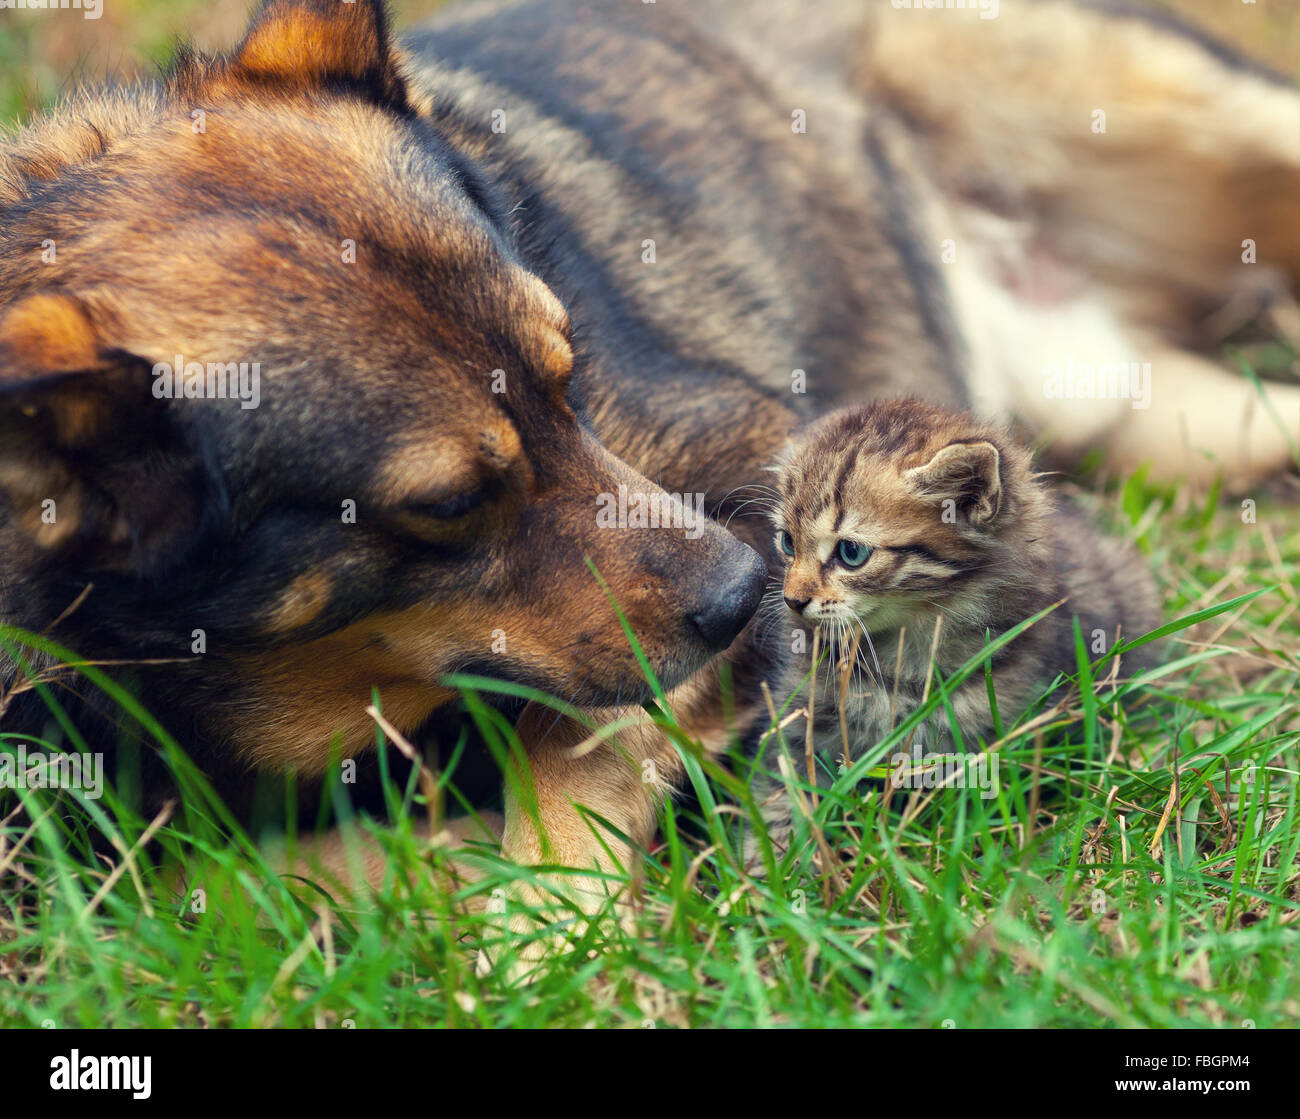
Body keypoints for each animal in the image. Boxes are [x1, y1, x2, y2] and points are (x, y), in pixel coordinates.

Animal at [759, 397, 1164, 831]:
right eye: (787, 543)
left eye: (851, 552)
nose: (792, 600)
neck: (902, 653)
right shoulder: (801, 719)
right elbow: (783, 794)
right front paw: (778, 846)